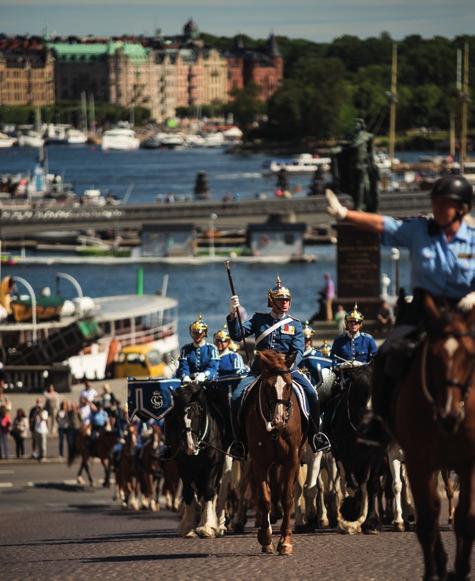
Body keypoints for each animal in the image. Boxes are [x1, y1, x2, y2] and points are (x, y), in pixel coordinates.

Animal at [244, 346, 306, 556]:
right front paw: (266, 537)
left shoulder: (291, 460)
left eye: (288, 385)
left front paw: (285, 542)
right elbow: (265, 498)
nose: (278, 421)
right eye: (269, 386)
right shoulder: (259, 461)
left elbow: (288, 497)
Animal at [390, 294, 475, 580]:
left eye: (469, 356)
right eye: (434, 357)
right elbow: (429, 513)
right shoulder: (419, 462)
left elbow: (463, 516)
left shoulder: (466, 465)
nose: (449, 414)